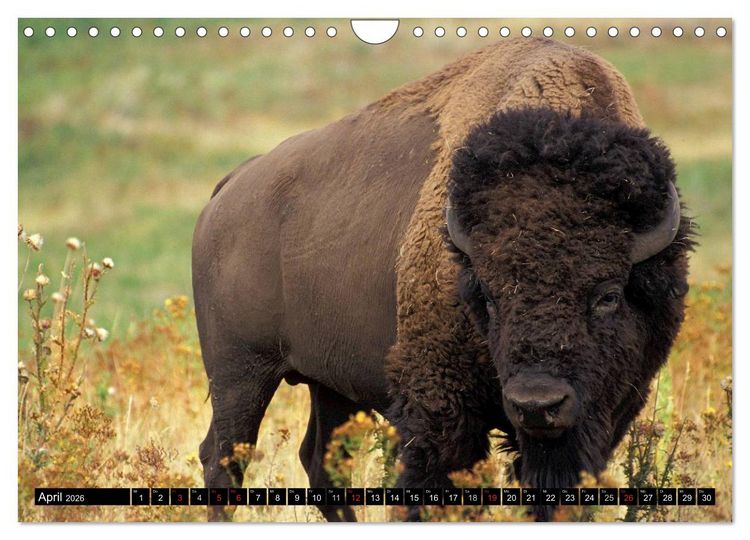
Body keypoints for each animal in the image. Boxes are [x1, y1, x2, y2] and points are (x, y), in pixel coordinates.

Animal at [192, 37, 693, 521]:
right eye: (487, 297)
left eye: (608, 295)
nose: (537, 404)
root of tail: (231, 187)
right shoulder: (439, 406)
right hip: (240, 372)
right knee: (224, 459)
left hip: (329, 383)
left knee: (321, 465)